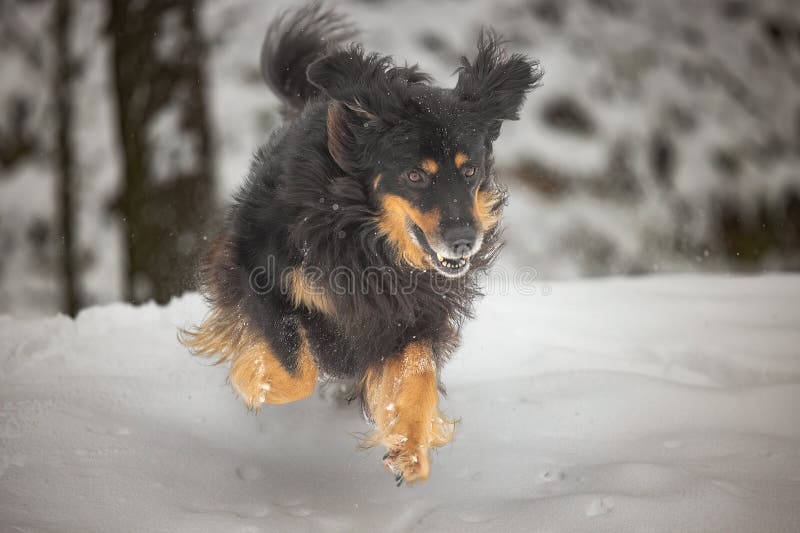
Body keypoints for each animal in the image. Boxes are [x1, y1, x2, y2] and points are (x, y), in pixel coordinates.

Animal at [183, 4, 544, 484]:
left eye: (469, 171)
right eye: (415, 175)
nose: (465, 241)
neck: (363, 236)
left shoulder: (415, 311)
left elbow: (419, 373)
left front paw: (409, 443)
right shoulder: (256, 270)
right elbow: (296, 367)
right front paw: (254, 380)